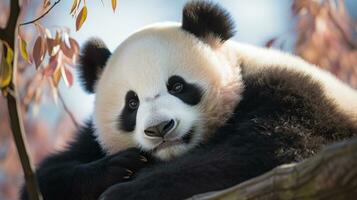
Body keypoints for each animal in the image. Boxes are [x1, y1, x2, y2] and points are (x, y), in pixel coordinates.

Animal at [21, 0, 356, 199]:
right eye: (132, 104)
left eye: (177, 85)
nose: (159, 128)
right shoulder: (89, 140)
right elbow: (45, 177)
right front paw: (118, 168)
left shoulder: (292, 91)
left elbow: (274, 146)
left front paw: (127, 190)